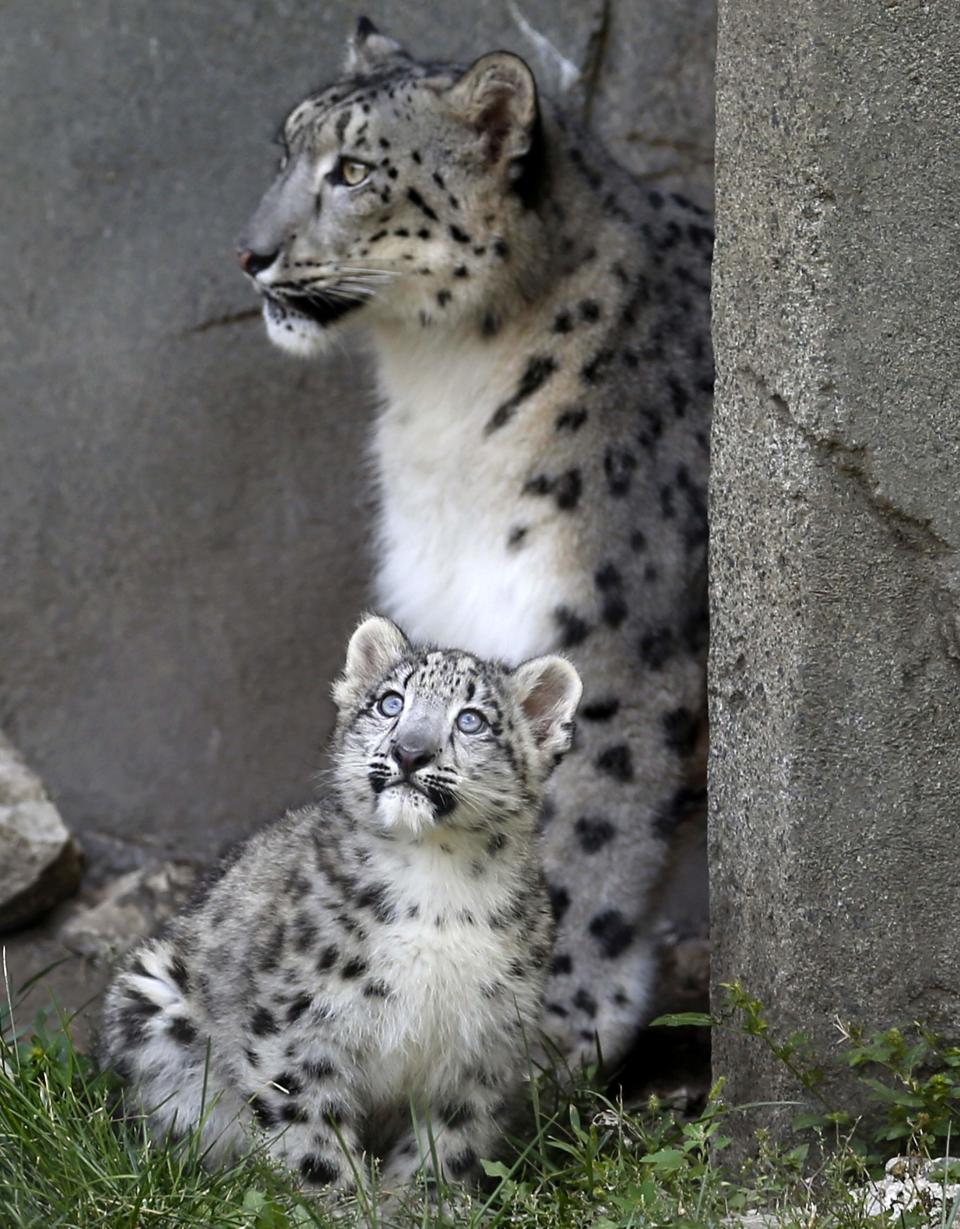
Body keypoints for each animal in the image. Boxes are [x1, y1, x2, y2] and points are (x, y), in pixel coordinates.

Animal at [236, 21, 708, 1076]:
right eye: (282, 152)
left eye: (354, 170)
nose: (249, 253)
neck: (442, 395)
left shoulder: (625, 636)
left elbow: (591, 820)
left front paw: (556, 1017)